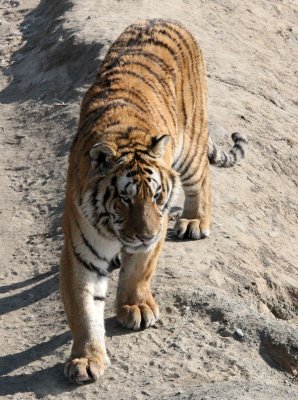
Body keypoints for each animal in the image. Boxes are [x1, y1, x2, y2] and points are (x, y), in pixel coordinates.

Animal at [60, 19, 247, 384]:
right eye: (124, 199)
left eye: (157, 195)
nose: (146, 234)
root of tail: (163, 19)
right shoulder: (80, 251)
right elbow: (83, 308)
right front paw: (86, 358)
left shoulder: (155, 229)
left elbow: (139, 270)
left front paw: (135, 307)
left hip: (190, 148)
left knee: (203, 178)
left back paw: (194, 221)